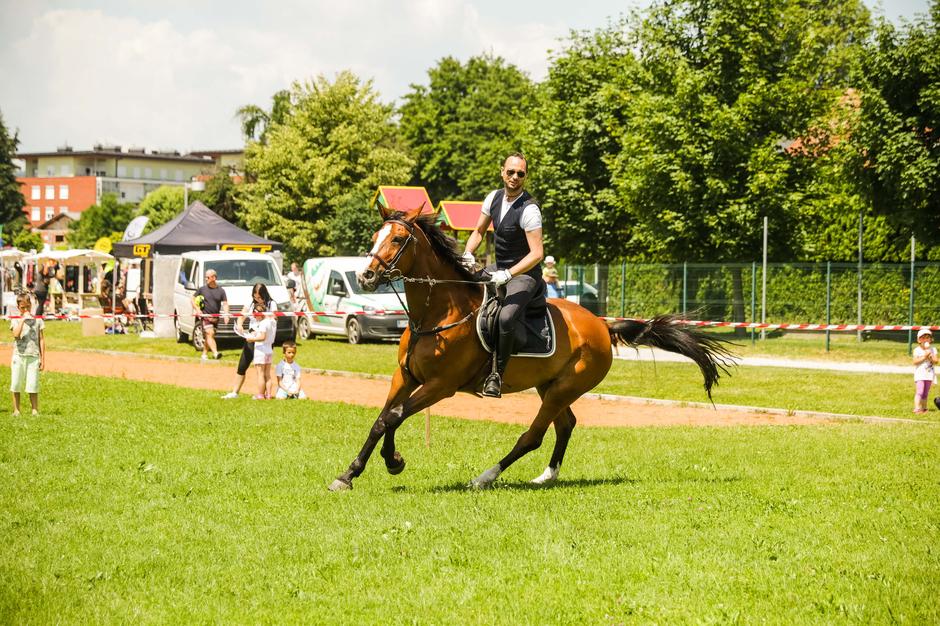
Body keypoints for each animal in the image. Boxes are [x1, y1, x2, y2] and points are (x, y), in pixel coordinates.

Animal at [330, 207, 736, 490]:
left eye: (398, 240)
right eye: (376, 234)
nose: (366, 275)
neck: (438, 313)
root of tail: (601, 325)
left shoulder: (440, 386)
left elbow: (394, 416)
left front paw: (386, 463)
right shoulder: (405, 377)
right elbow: (383, 418)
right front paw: (358, 471)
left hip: (563, 387)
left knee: (533, 436)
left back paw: (485, 477)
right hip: (551, 386)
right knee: (565, 425)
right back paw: (547, 476)